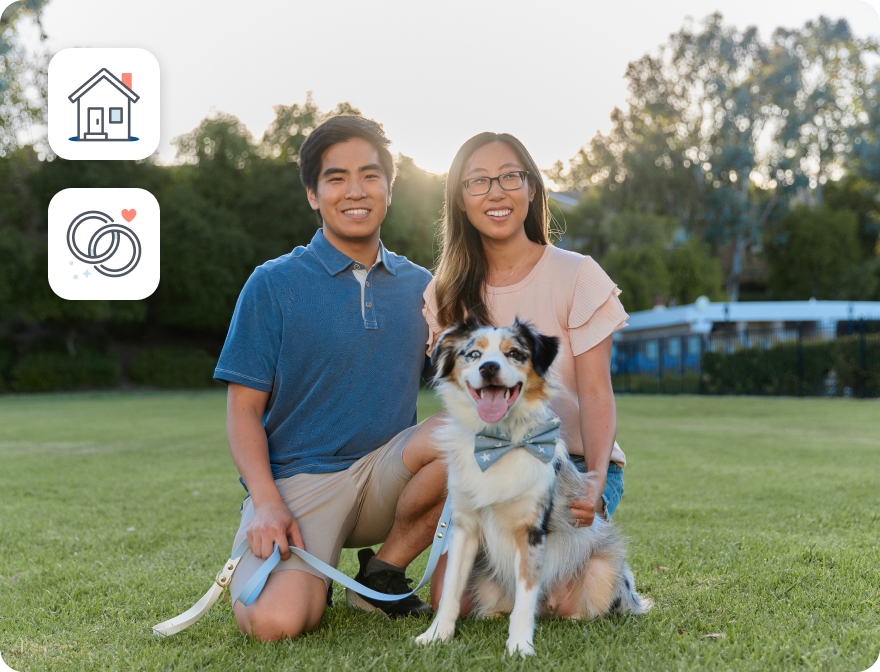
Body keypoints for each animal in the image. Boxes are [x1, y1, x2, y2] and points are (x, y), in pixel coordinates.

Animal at [416, 318, 648, 652]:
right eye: (473, 354)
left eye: (514, 353)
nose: (488, 368)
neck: (498, 443)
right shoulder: (464, 527)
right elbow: (450, 588)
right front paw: (436, 635)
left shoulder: (532, 532)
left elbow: (526, 595)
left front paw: (519, 647)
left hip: (604, 570)